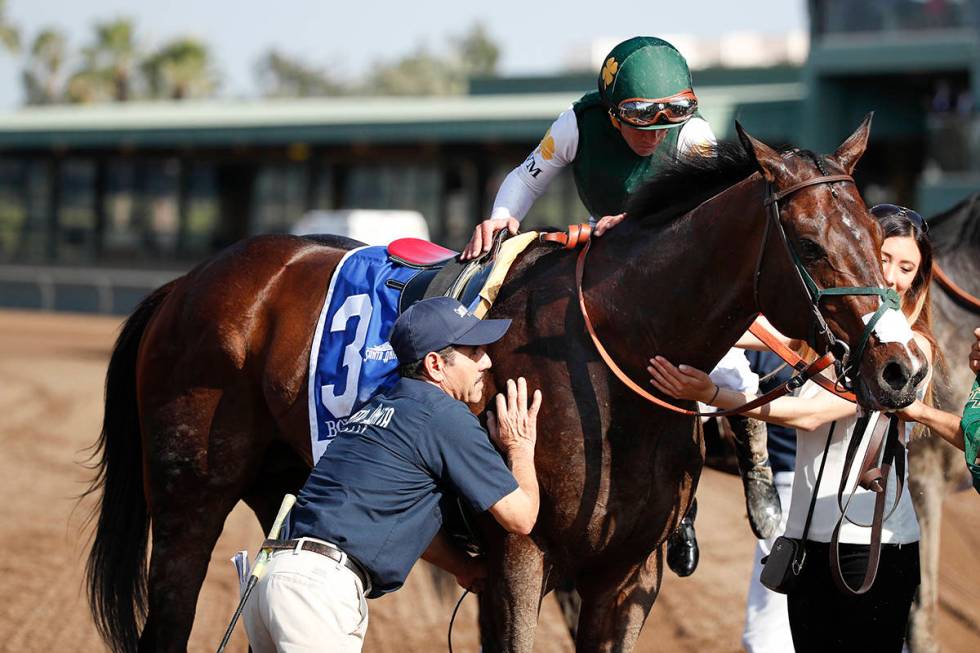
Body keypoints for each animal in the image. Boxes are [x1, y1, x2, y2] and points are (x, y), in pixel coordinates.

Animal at [84, 118, 928, 652]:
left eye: (875, 238)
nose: (902, 366)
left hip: (282, 494)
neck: (612, 355)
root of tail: (190, 281)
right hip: (188, 502)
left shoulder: (627, 578)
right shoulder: (520, 559)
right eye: (811, 246)